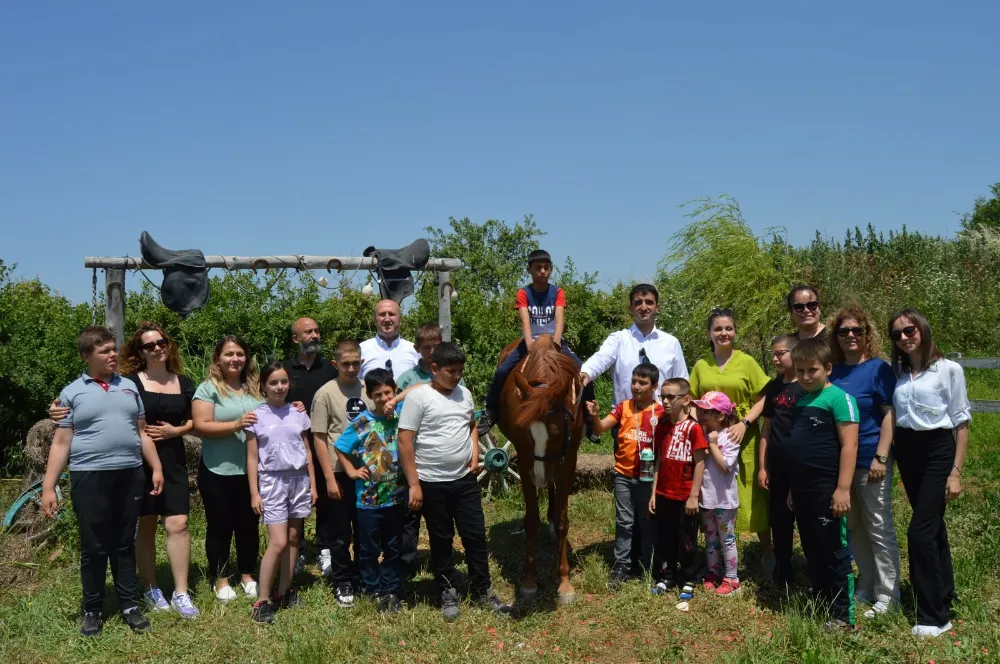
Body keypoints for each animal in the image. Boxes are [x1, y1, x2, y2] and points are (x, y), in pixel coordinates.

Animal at [494, 334, 584, 604]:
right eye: (526, 433)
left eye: (556, 434)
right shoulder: (525, 460)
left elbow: (564, 520)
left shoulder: (568, 457)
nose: (541, 478)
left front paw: (564, 583)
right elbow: (531, 520)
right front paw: (529, 582)